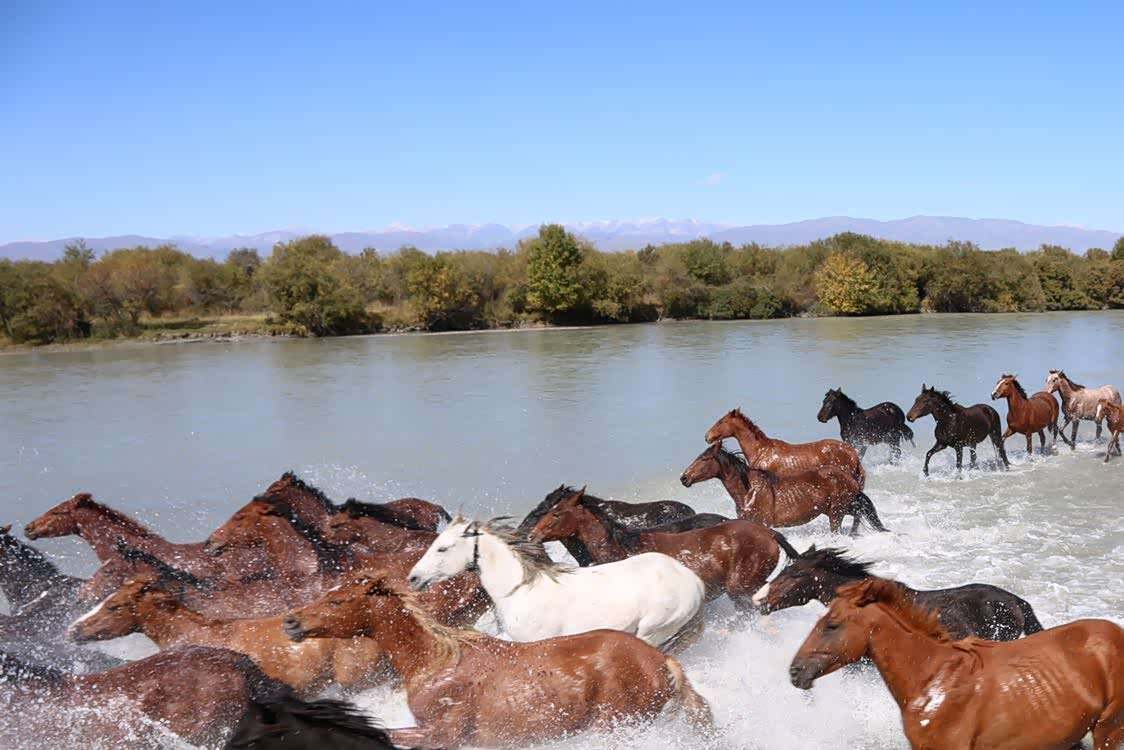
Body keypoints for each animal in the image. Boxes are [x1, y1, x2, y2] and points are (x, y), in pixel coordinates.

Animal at [282, 573, 714, 748]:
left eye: (338, 601)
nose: (290, 622)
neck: (434, 663)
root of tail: (661, 661)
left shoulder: (443, 736)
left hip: (616, 725)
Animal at [679, 443, 887, 534]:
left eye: (704, 459)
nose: (684, 478)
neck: (748, 491)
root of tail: (851, 478)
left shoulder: (762, 523)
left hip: (837, 511)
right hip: (838, 508)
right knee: (859, 513)